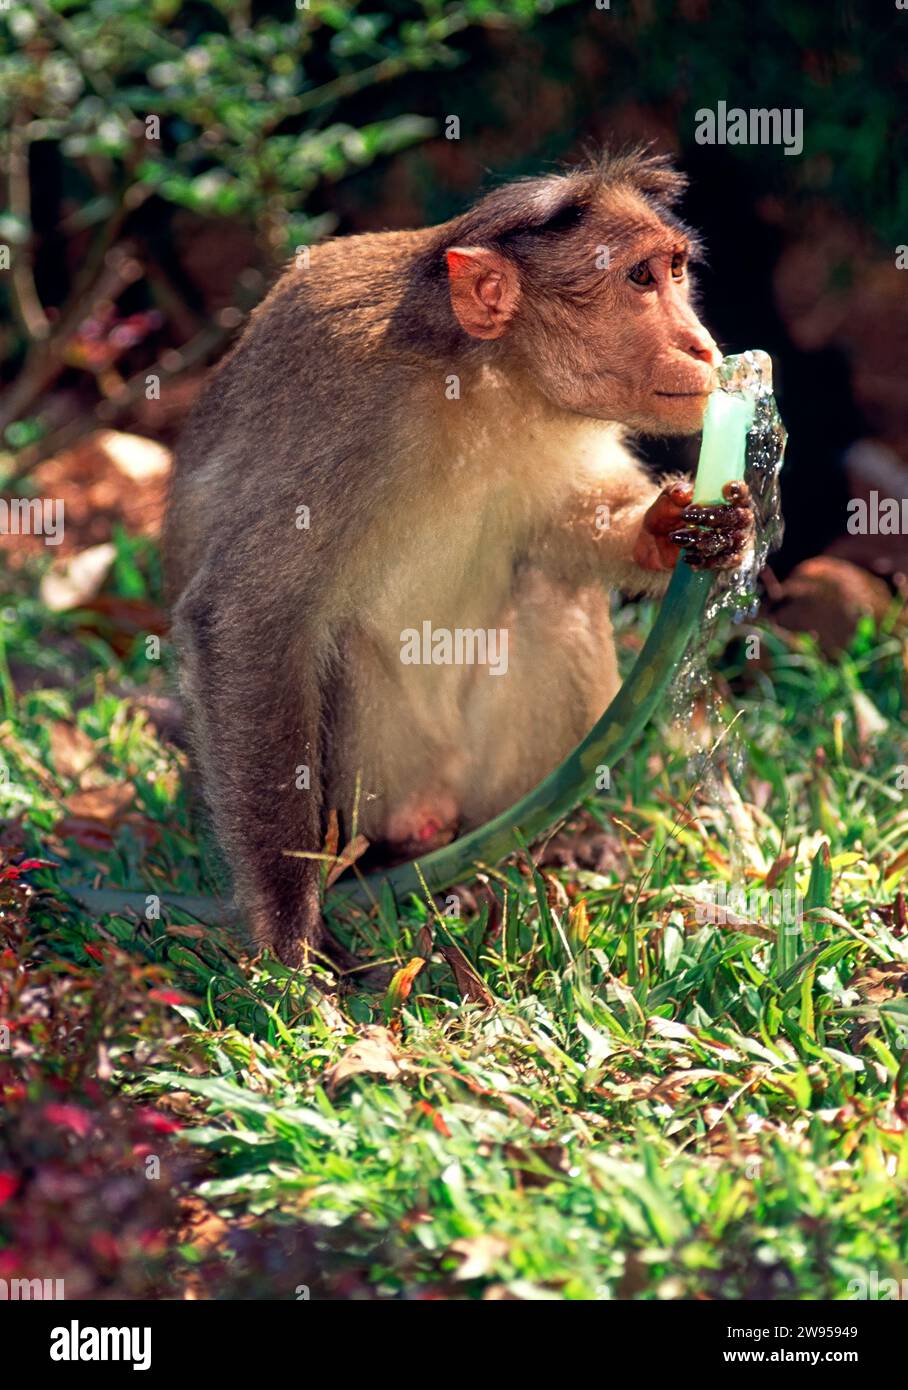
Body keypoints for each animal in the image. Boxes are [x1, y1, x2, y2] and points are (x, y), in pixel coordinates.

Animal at [164, 148, 754, 970]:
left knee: (550, 588)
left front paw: (679, 529)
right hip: (386, 770)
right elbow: (248, 616)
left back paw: (543, 848)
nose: (703, 346)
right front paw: (289, 931)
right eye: (641, 279)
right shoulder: (353, 411)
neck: (490, 379)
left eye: (676, 270)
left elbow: (563, 526)